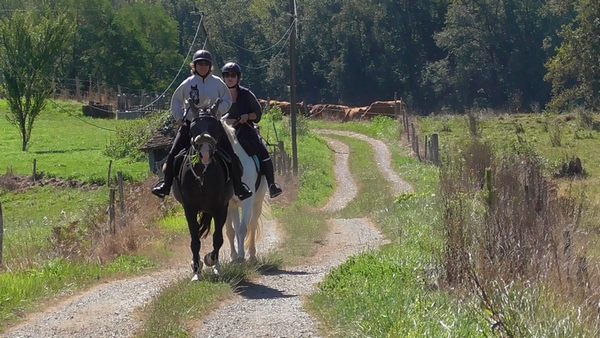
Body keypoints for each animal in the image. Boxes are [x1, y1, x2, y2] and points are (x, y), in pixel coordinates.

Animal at [171, 101, 234, 282]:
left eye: (215, 126)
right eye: (193, 127)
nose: (205, 154)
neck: (203, 175)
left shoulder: (220, 208)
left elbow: (218, 239)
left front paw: (212, 263)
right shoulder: (189, 209)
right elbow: (195, 241)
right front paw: (196, 271)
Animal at [223, 120, 268, 262]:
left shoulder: (247, 202)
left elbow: (244, 229)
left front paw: (242, 255)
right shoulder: (226, 205)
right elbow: (230, 230)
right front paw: (234, 256)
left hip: (257, 202)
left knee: (252, 224)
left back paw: (252, 255)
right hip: (234, 206)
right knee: (236, 227)